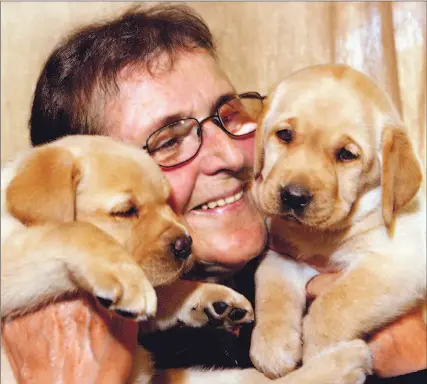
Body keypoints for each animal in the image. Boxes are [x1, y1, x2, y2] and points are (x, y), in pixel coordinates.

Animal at [1, 134, 372, 382]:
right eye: (125, 211)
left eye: (169, 201)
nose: (185, 244)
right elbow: (72, 232)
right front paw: (126, 280)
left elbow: (165, 291)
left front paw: (212, 299)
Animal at [251, 63, 424, 378]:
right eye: (285, 135)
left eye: (346, 154)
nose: (293, 197)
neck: (321, 236)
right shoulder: (283, 256)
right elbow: (271, 290)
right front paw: (272, 344)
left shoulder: (398, 261)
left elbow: (336, 303)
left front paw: (322, 355)